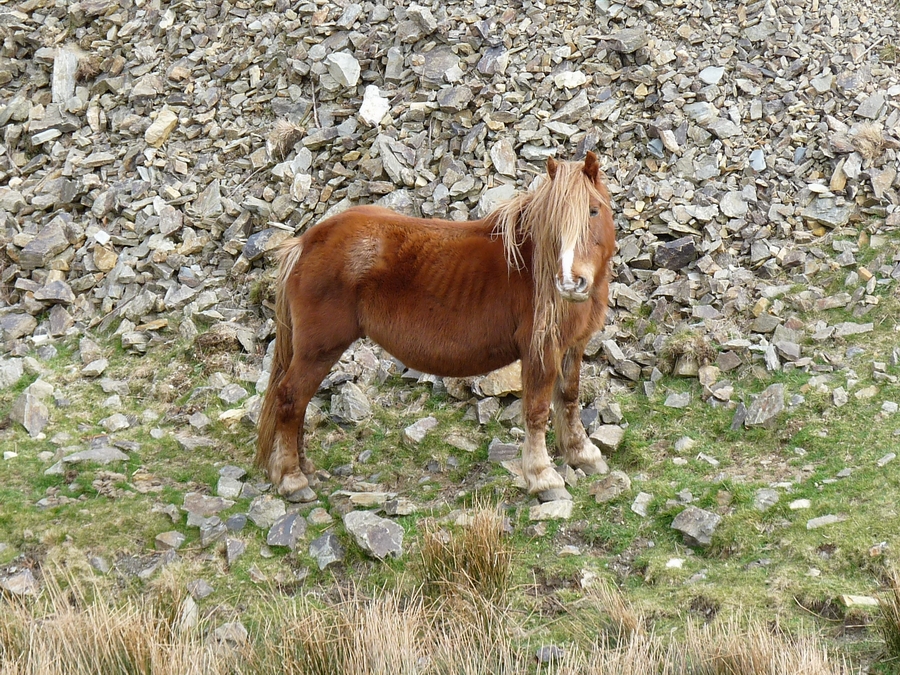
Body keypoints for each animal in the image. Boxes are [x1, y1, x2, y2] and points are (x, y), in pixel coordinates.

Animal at [256, 152, 616, 502]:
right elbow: (538, 410)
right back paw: (292, 479)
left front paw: (582, 454)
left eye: (593, 210)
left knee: (299, 403)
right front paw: (543, 477)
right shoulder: (540, 349)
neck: (531, 263)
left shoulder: (572, 345)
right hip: (319, 348)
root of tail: (306, 242)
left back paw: (306, 469)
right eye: (555, 224)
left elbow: (568, 397)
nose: (570, 283)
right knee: (290, 398)